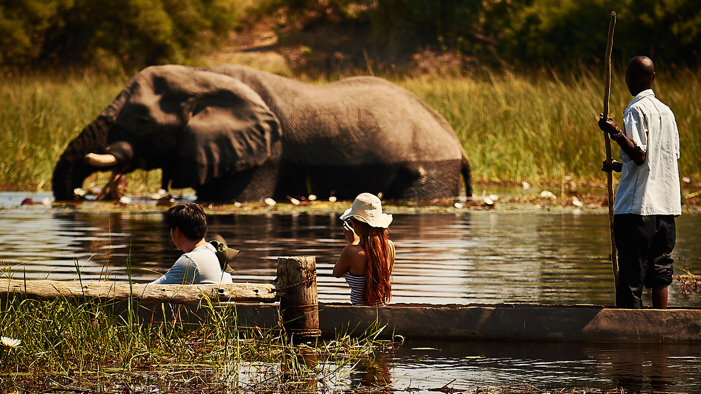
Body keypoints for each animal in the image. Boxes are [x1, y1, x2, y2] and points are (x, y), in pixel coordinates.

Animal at [52, 65, 474, 203]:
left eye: (141, 119)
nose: (79, 197)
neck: (202, 75)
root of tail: (456, 140)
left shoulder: (264, 156)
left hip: (429, 170)